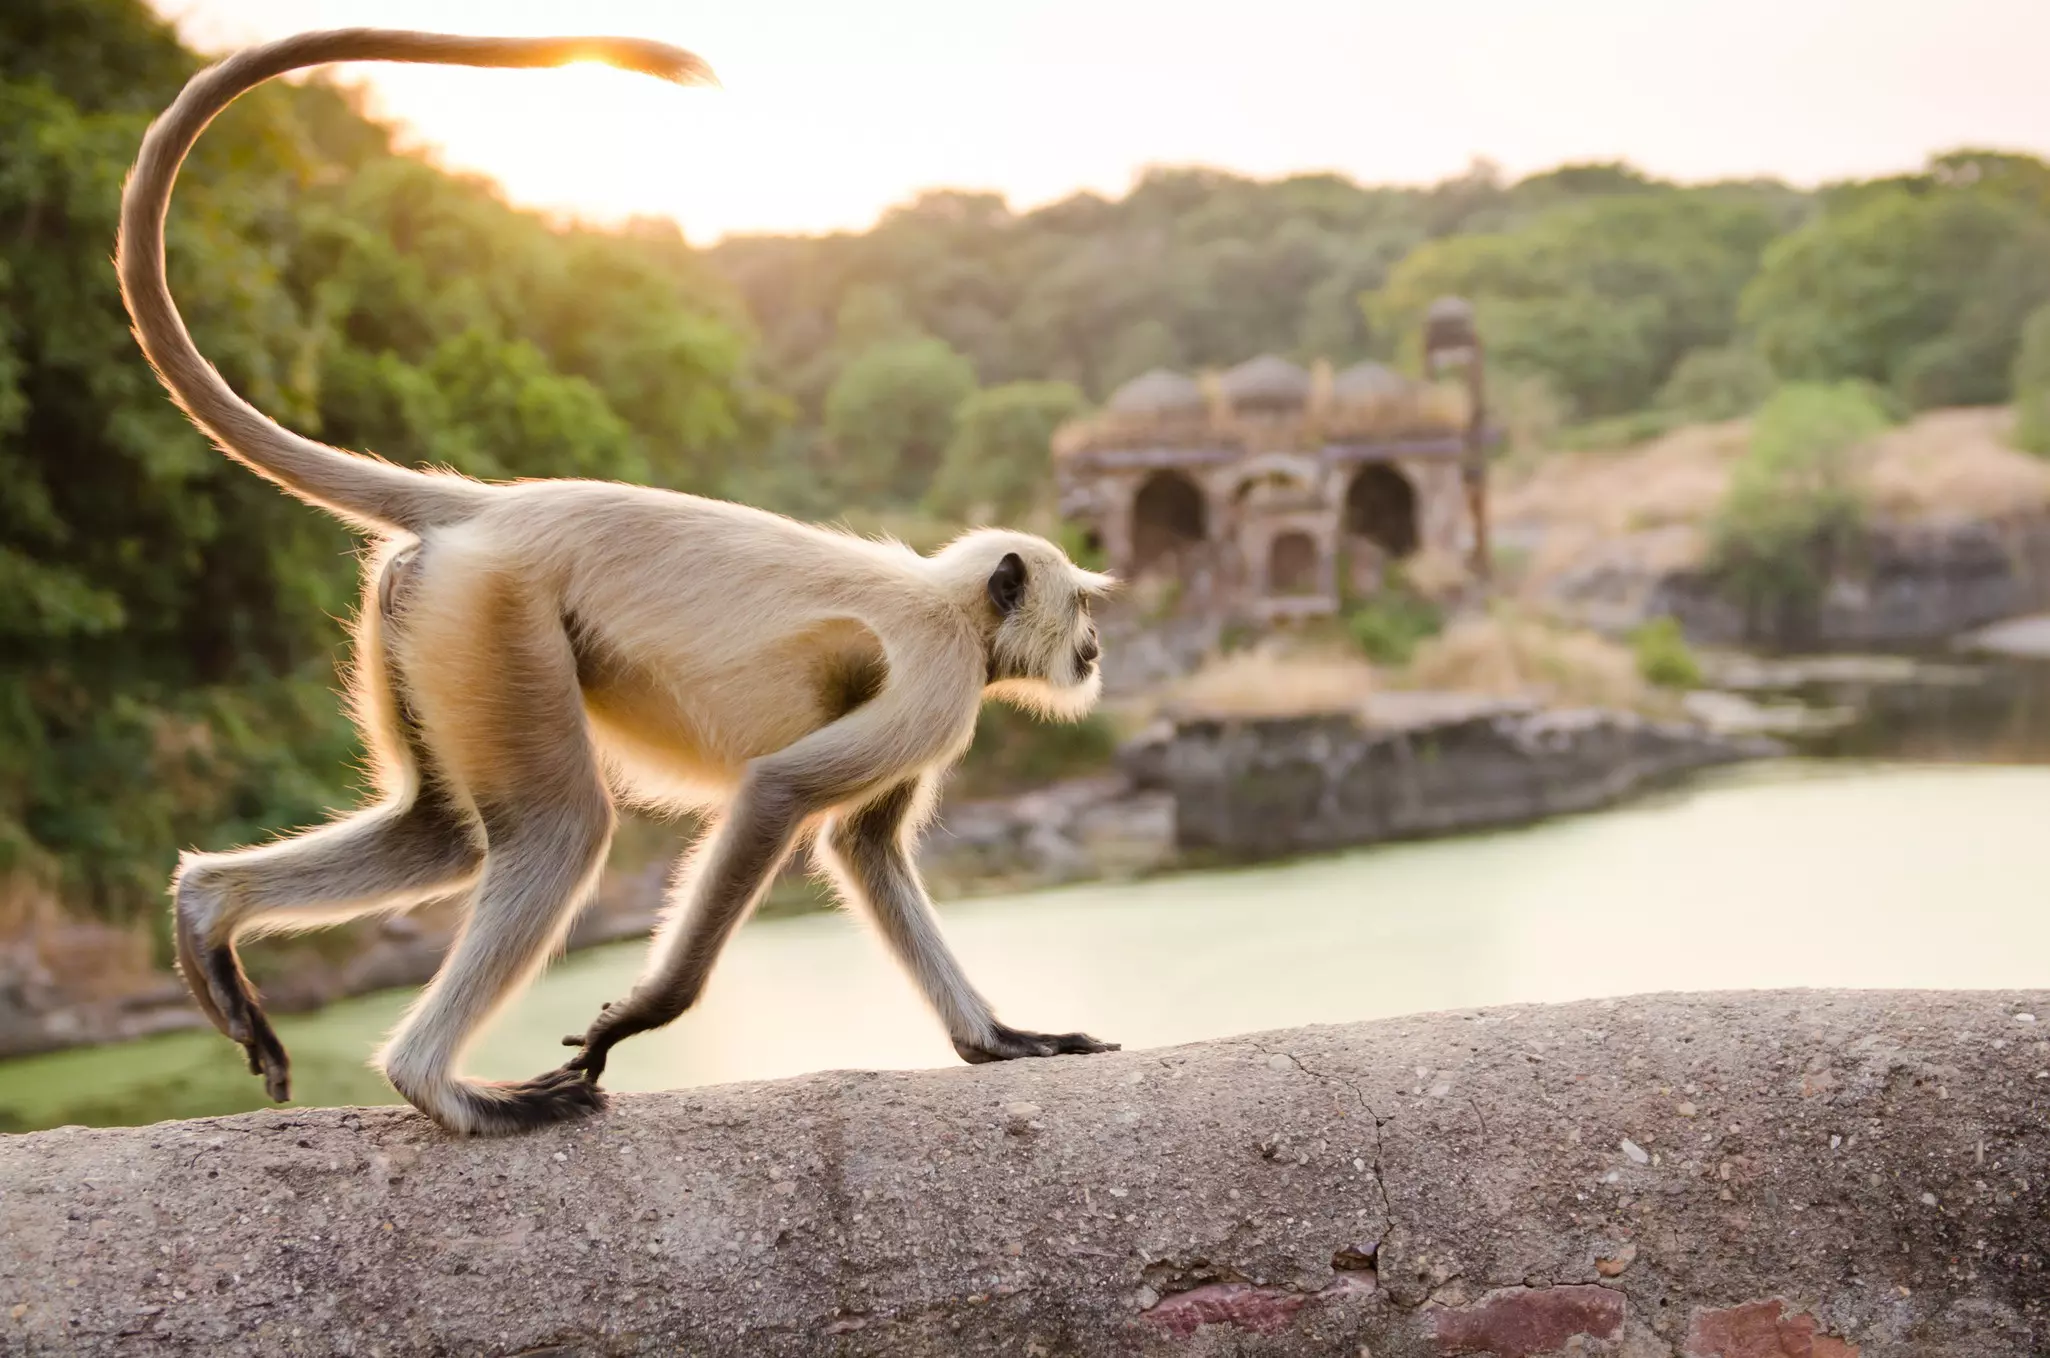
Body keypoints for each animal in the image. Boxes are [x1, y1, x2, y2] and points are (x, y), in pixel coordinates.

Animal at [118, 28, 1119, 1137]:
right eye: (1079, 604)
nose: (1094, 648)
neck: (953, 602)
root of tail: (488, 510)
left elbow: (864, 847)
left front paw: (996, 1040)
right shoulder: (943, 681)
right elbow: (778, 794)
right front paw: (641, 1013)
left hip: (433, 621)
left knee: (443, 835)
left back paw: (207, 912)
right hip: (495, 617)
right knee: (560, 830)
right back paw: (440, 1085)